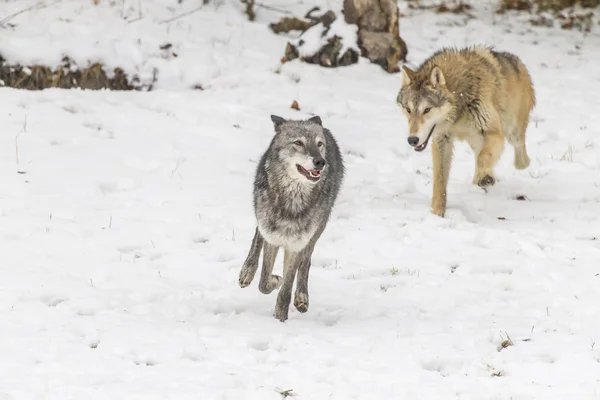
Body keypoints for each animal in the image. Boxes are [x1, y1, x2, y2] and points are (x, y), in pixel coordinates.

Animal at [238, 115, 344, 322]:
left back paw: (302, 297)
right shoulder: (272, 238)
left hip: (316, 232)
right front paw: (275, 280)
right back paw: (247, 271)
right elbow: (264, 282)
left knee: (306, 262)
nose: (320, 162)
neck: (292, 200)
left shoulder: (297, 244)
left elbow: (287, 287)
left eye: (319, 144)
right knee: (257, 236)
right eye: (298, 143)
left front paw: (281, 317)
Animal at [398, 45, 536, 217]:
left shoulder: (494, 133)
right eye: (408, 109)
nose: (412, 140)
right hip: (477, 139)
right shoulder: (441, 140)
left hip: (512, 132)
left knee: (520, 155)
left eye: (427, 110)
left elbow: (484, 157)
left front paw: (485, 177)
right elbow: (439, 181)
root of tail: (515, 59)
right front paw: (437, 213)